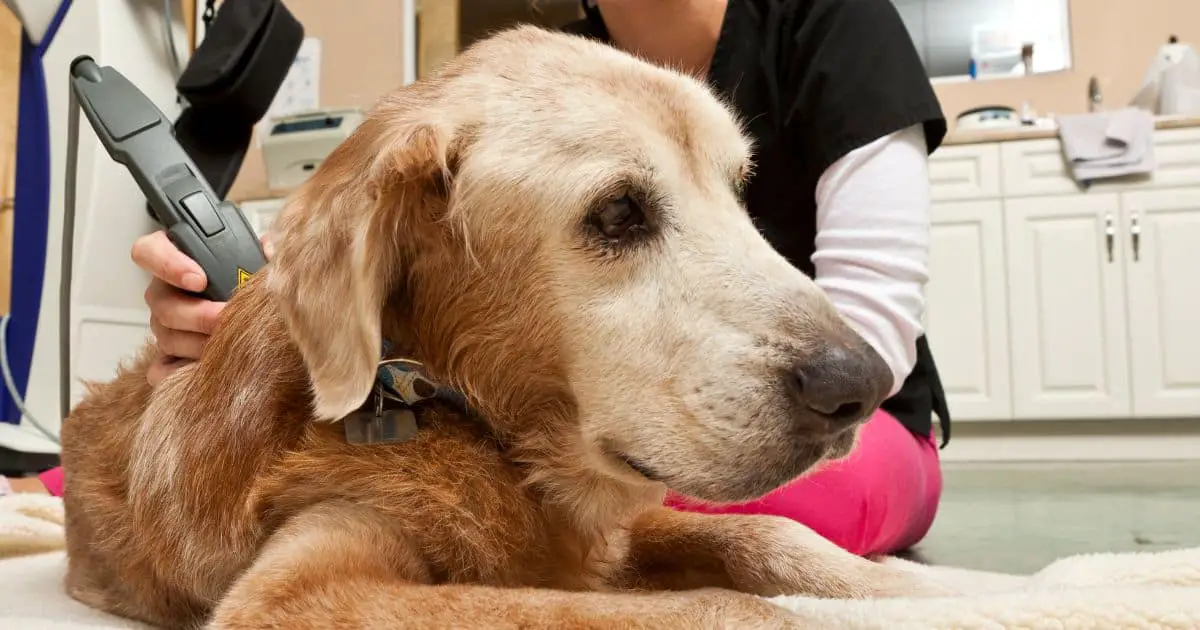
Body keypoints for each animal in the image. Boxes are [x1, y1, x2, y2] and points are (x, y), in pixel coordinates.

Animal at [63, 25, 945, 628]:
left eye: (738, 191)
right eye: (617, 212)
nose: (861, 385)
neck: (457, 412)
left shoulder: (620, 529)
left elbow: (768, 534)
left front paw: (932, 589)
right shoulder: (297, 591)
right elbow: (719, 606)